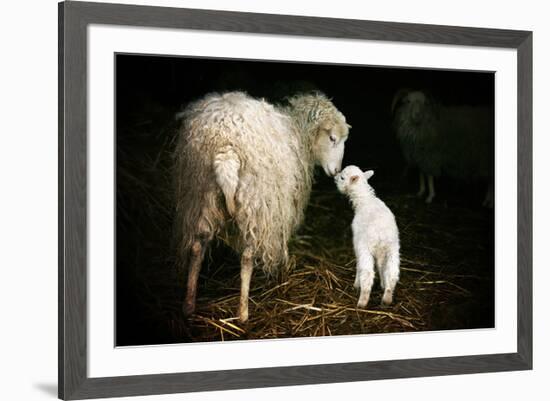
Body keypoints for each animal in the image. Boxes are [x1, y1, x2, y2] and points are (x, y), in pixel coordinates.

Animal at [175, 90, 352, 322]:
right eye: (333, 138)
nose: (337, 172)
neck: (297, 130)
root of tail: (225, 146)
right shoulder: (284, 205)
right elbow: (283, 241)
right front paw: (283, 270)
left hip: (200, 195)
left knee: (197, 246)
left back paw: (188, 306)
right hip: (256, 203)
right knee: (248, 256)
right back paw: (243, 313)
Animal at [336, 165, 402, 306]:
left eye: (342, 177)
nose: (335, 176)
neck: (365, 200)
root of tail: (381, 235)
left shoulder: (357, 243)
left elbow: (358, 266)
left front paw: (356, 284)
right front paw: (382, 284)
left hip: (366, 248)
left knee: (367, 273)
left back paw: (363, 300)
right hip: (392, 249)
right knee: (392, 272)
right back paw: (387, 296)